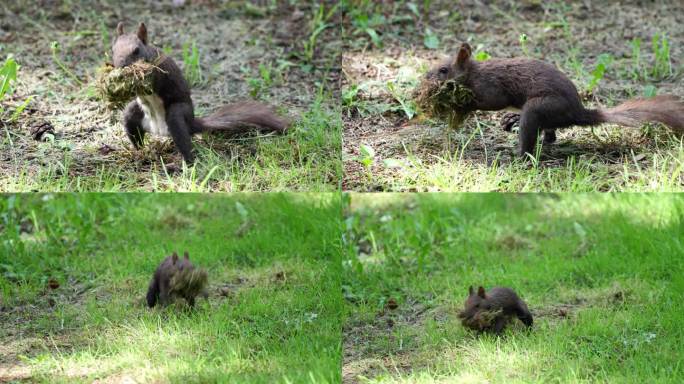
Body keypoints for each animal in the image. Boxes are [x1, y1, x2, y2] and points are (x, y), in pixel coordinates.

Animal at [111, 22, 288, 164]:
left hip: (177, 115)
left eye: (136, 50)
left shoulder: (159, 74)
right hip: (134, 113)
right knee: (134, 130)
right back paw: (139, 152)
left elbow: (149, 85)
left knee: (185, 144)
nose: (119, 65)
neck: (150, 56)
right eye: (112, 49)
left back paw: (181, 165)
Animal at [424, 44, 684, 158]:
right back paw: (516, 122)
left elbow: (488, 101)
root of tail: (578, 113)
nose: (425, 78)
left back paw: (516, 152)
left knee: (530, 142)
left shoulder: (491, 87)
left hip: (540, 107)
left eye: (444, 70)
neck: (475, 72)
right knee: (550, 135)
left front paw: (459, 103)